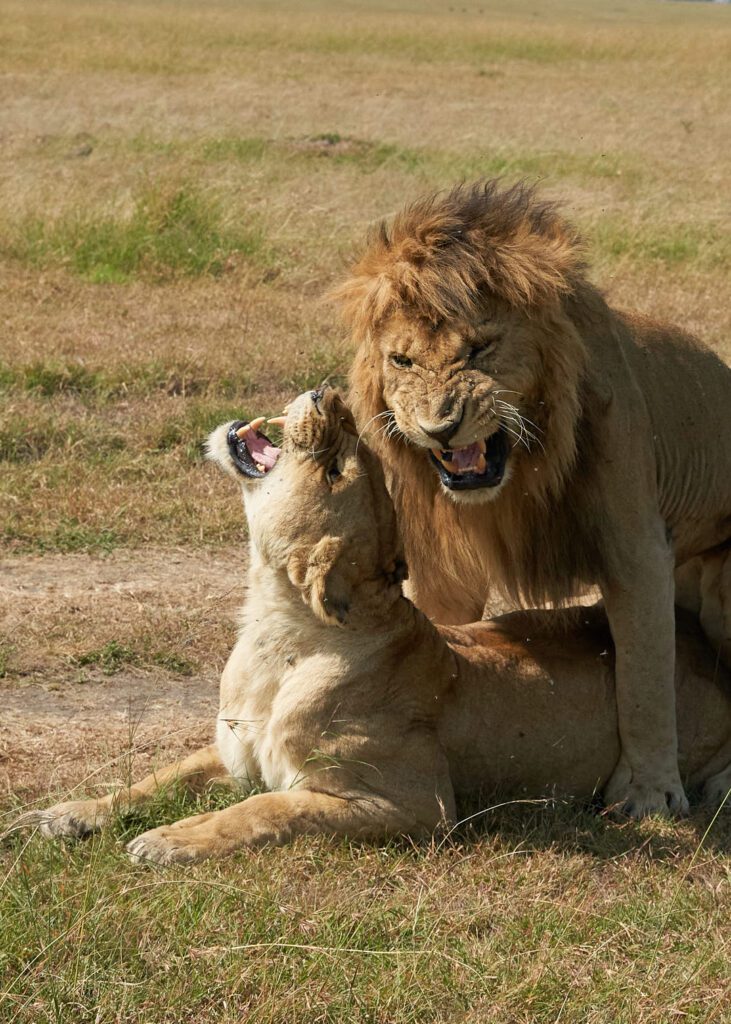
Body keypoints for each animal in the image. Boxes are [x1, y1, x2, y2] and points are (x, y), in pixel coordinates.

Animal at [21, 388, 731, 863]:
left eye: (337, 468)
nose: (329, 393)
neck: (271, 632)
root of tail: (703, 643)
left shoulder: (417, 803)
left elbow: (266, 807)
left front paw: (170, 840)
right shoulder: (232, 749)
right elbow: (154, 777)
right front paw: (67, 815)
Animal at [333, 180, 731, 819]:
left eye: (479, 349)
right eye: (402, 360)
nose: (440, 427)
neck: (519, 476)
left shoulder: (637, 550)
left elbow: (646, 678)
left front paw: (649, 794)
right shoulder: (443, 559)